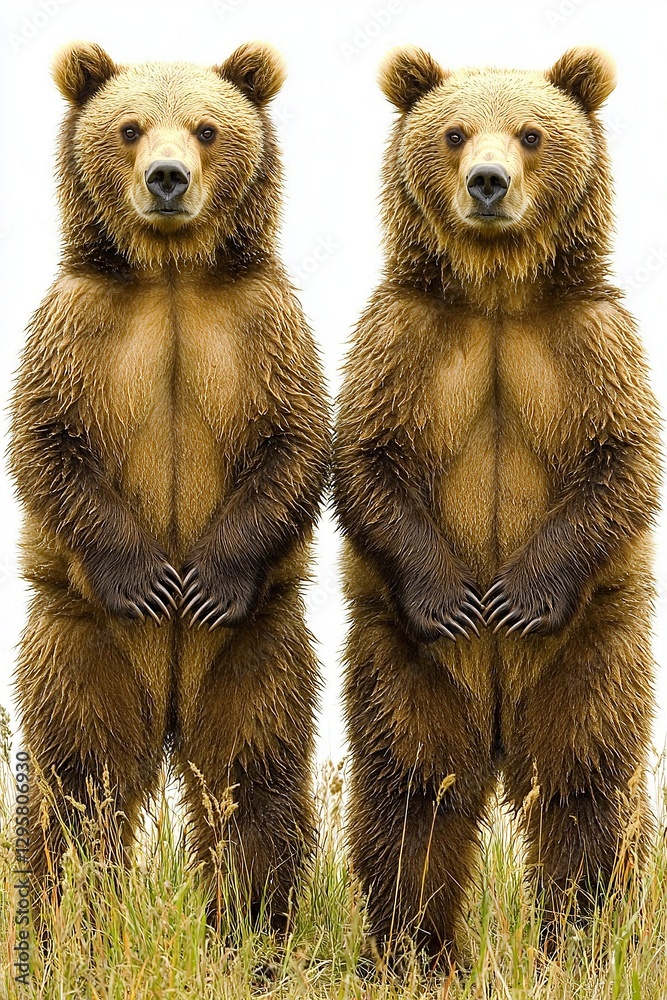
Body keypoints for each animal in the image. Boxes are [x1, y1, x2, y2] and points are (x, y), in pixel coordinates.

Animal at [9, 41, 330, 935]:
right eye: (128, 126)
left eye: (207, 128)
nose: (166, 178)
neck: (172, 277)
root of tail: (169, 702)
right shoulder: (78, 329)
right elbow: (46, 443)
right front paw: (150, 580)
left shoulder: (263, 330)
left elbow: (294, 441)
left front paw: (205, 581)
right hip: (78, 640)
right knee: (77, 780)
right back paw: (62, 925)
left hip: (258, 648)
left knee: (250, 778)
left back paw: (250, 926)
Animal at [333, 45, 660, 964]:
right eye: (452, 132)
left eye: (530, 132)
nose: (486, 182)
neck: (496, 298)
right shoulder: (402, 345)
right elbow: (366, 460)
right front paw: (457, 597)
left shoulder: (590, 349)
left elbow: (623, 460)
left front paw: (515, 596)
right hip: (400, 658)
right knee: (413, 786)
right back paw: (411, 948)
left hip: (594, 642)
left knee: (582, 781)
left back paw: (581, 938)